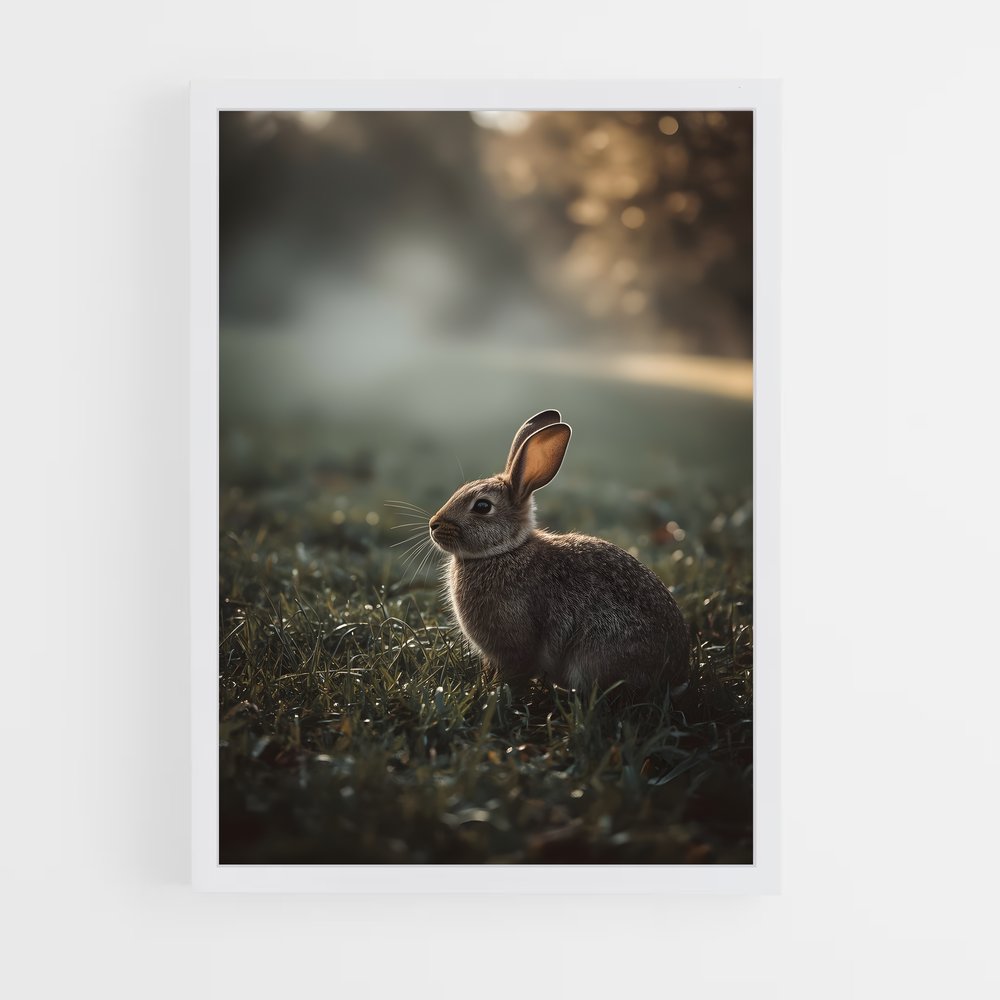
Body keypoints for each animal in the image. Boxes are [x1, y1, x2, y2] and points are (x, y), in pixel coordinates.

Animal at [428, 410, 689, 692]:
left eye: (482, 506)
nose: (433, 525)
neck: (504, 551)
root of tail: (676, 675)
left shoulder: (515, 643)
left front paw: (495, 689)